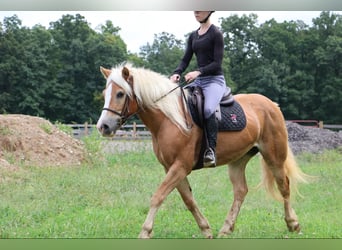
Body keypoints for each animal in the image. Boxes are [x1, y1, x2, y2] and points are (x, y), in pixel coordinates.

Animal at [95, 62, 308, 238]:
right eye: (105, 94)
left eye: (120, 94)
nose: (103, 126)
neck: (169, 119)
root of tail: (272, 105)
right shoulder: (171, 167)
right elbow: (188, 200)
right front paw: (206, 229)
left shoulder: (180, 166)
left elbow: (158, 196)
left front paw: (145, 232)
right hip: (238, 160)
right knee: (241, 190)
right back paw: (226, 229)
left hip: (274, 156)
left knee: (284, 186)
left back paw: (293, 224)